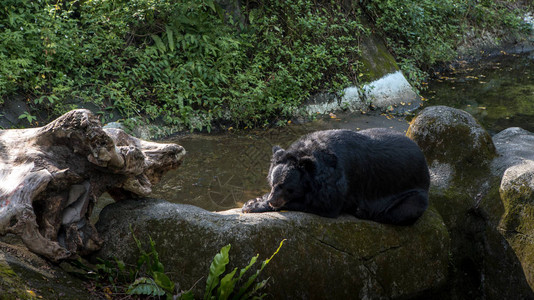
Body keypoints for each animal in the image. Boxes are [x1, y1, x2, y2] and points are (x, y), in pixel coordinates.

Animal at [243, 128, 432, 225]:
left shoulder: (338, 179)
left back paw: (362, 212)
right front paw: (252, 202)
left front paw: (255, 206)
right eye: (272, 183)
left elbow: (325, 204)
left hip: (411, 193)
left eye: (288, 188)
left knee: (406, 209)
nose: (272, 201)